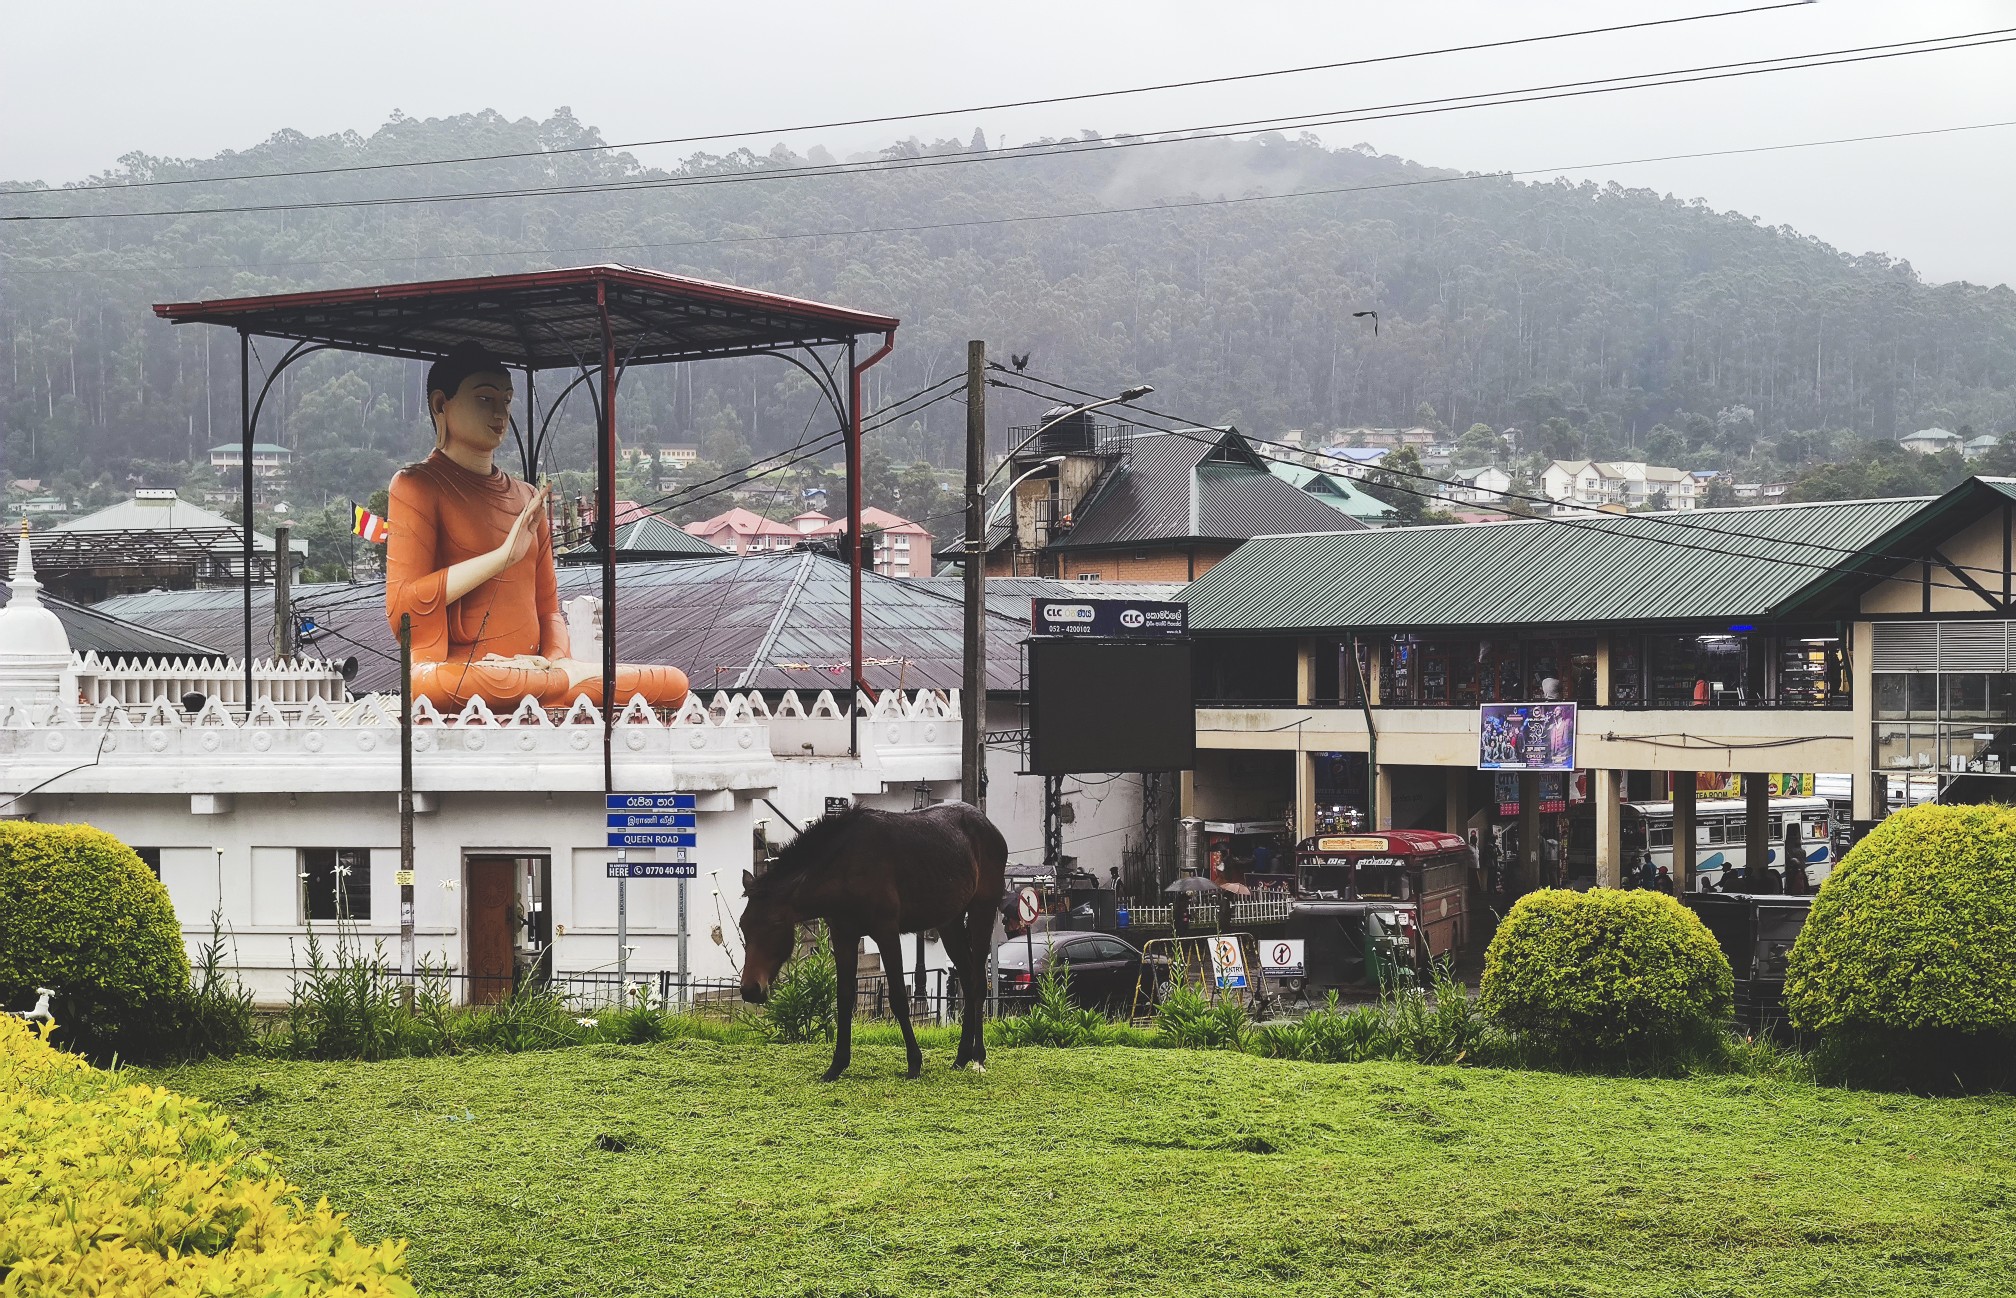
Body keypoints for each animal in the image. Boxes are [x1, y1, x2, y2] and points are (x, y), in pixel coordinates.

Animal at [737, 806, 1003, 1080]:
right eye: (743, 925)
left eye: (775, 924)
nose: (750, 989)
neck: (846, 866)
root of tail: (988, 825)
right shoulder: (844, 935)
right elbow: (844, 997)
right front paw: (837, 1064)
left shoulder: (886, 932)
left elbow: (898, 998)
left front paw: (914, 1062)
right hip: (950, 922)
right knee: (967, 981)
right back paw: (961, 1056)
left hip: (982, 911)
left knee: (978, 983)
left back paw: (978, 1057)